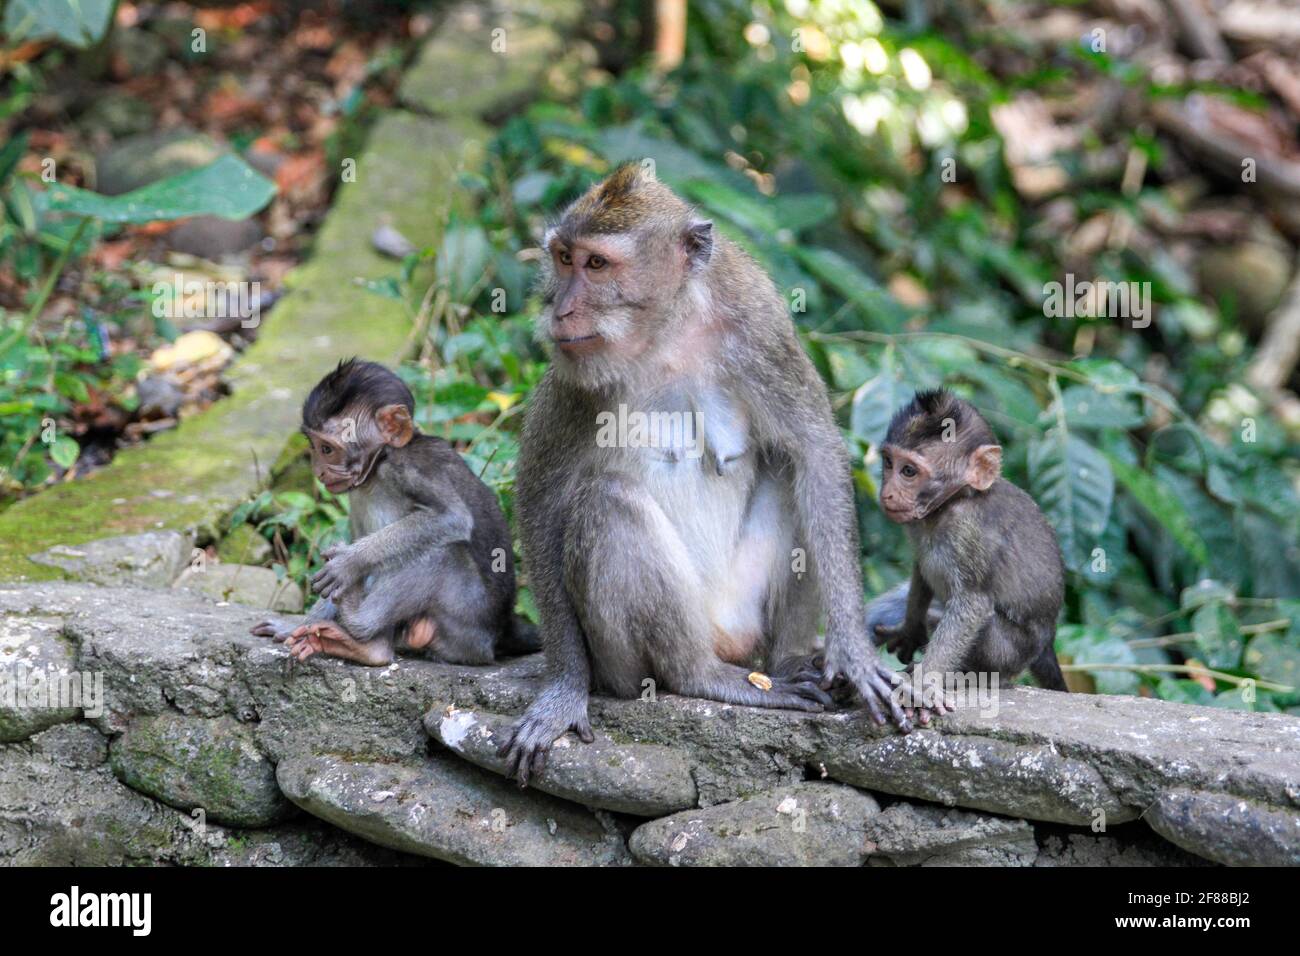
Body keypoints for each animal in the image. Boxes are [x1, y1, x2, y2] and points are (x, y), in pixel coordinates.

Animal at [250, 361, 535, 671]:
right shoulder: (357, 493)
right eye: (313, 447)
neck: (379, 465)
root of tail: (499, 632)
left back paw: (364, 634)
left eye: (327, 449)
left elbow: (452, 517)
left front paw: (348, 564)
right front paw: (294, 626)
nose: (318, 472)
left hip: (468, 622)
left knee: (444, 553)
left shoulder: (408, 467)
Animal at [501, 164, 909, 785]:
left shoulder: (761, 327)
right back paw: (697, 675)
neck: (666, 330)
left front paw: (854, 654)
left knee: (789, 469)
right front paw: (565, 689)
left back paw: (785, 663)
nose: (559, 310)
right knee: (608, 501)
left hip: (742, 611)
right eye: (564, 258)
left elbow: (814, 452)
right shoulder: (573, 378)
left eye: (596, 264)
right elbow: (540, 500)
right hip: (630, 656)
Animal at [873, 385, 1066, 707]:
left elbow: (971, 606)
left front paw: (924, 683)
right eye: (889, 463)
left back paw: (975, 677)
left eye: (909, 471)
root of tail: (1047, 641)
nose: (887, 493)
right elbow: (921, 572)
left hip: (1012, 653)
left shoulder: (969, 532)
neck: (952, 503)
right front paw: (910, 629)